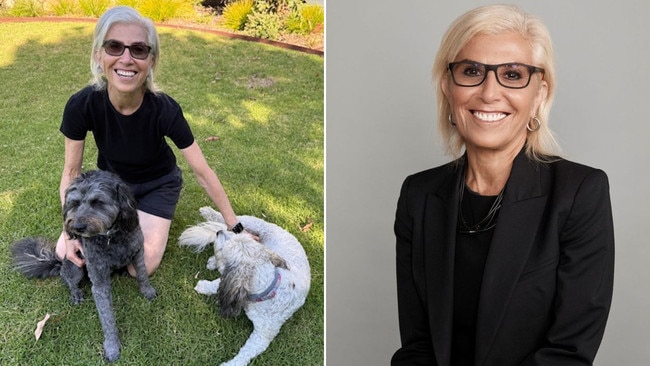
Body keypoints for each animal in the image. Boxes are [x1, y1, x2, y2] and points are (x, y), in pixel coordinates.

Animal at [177, 207, 308, 364]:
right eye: (232, 239)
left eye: (226, 246)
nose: (219, 233)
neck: (269, 288)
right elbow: (216, 283)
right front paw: (204, 286)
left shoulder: (262, 337)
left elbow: (245, 356)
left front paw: (229, 364)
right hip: (251, 222)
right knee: (225, 217)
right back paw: (207, 211)